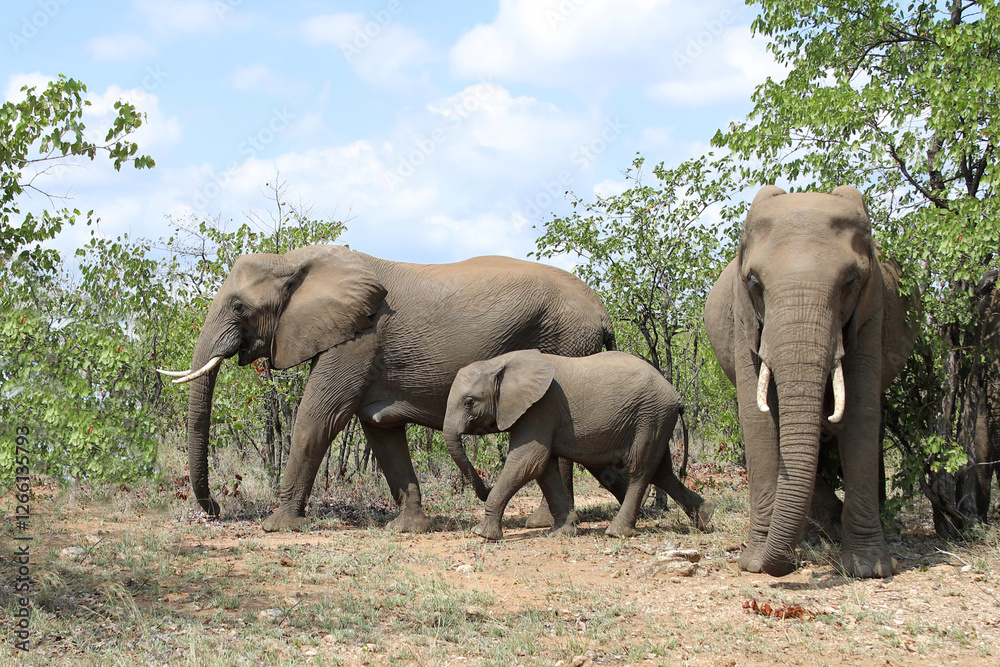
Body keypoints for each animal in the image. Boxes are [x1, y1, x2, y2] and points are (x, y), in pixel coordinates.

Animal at [157, 245, 627, 533]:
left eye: (239, 306)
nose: (216, 510)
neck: (294, 261)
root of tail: (604, 314)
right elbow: (381, 433)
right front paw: (407, 529)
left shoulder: (357, 340)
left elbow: (318, 419)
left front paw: (277, 526)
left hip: (565, 344)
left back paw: (543, 524)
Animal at [442, 349, 715, 540]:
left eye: (469, 402)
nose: (485, 487)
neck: (500, 363)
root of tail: (677, 398)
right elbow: (545, 469)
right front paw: (562, 532)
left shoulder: (540, 408)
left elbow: (528, 462)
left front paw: (482, 535)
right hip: (657, 421)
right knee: (662, 472)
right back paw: (704, 518)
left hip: (650, 416)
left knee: (640, 469)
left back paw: (616, 532)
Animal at [704, 185, 917, 578]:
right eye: (755, 284)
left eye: (850, 282)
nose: (787, 564)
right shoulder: (743, 317)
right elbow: (758, 420)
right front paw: (756, 563)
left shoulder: (871, 308)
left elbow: (861, 413)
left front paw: (869, 569)